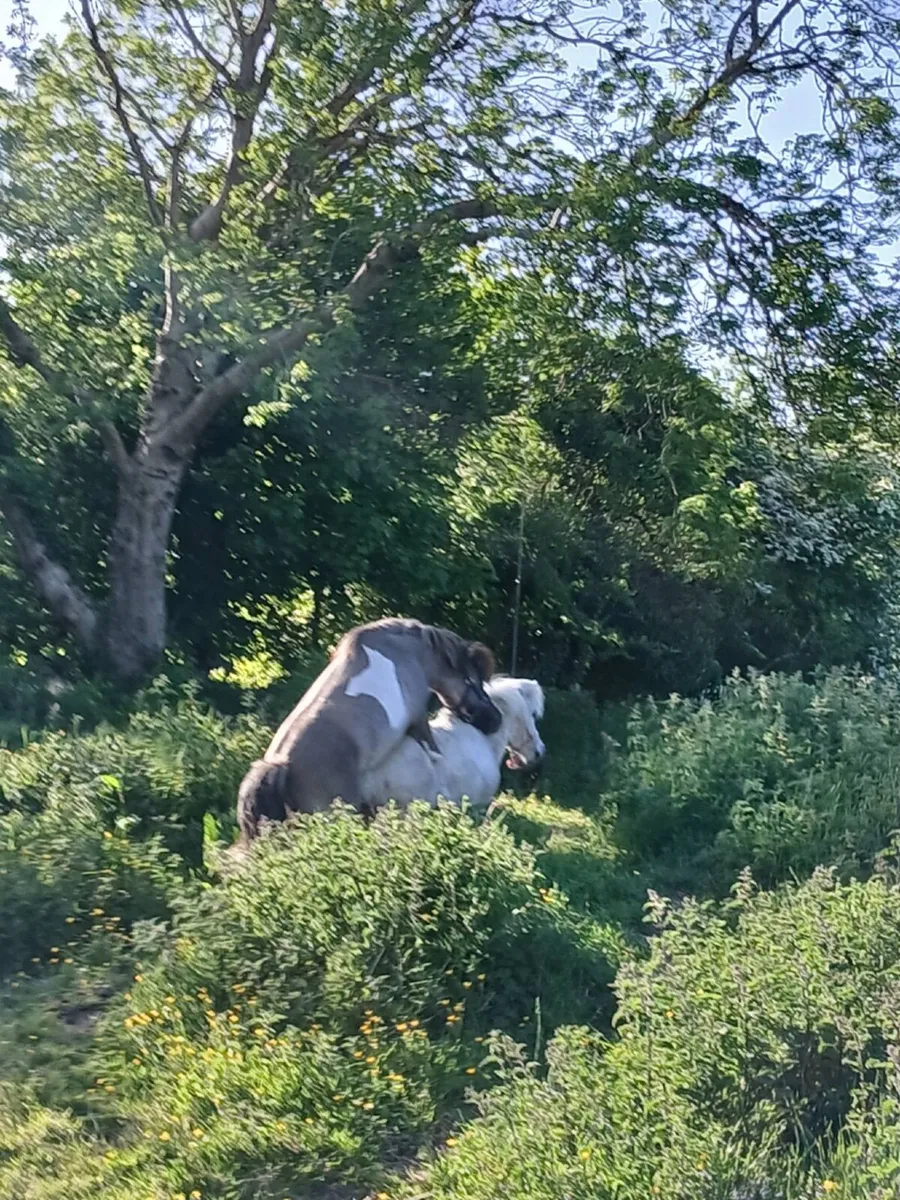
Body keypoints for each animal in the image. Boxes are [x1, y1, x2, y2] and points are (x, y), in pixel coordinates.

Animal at [236, 618, 502, 843]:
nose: (495, 720)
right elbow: (430, 745)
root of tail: (281, 764)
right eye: (474, 681)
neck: (411, 652)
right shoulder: (417, 717)